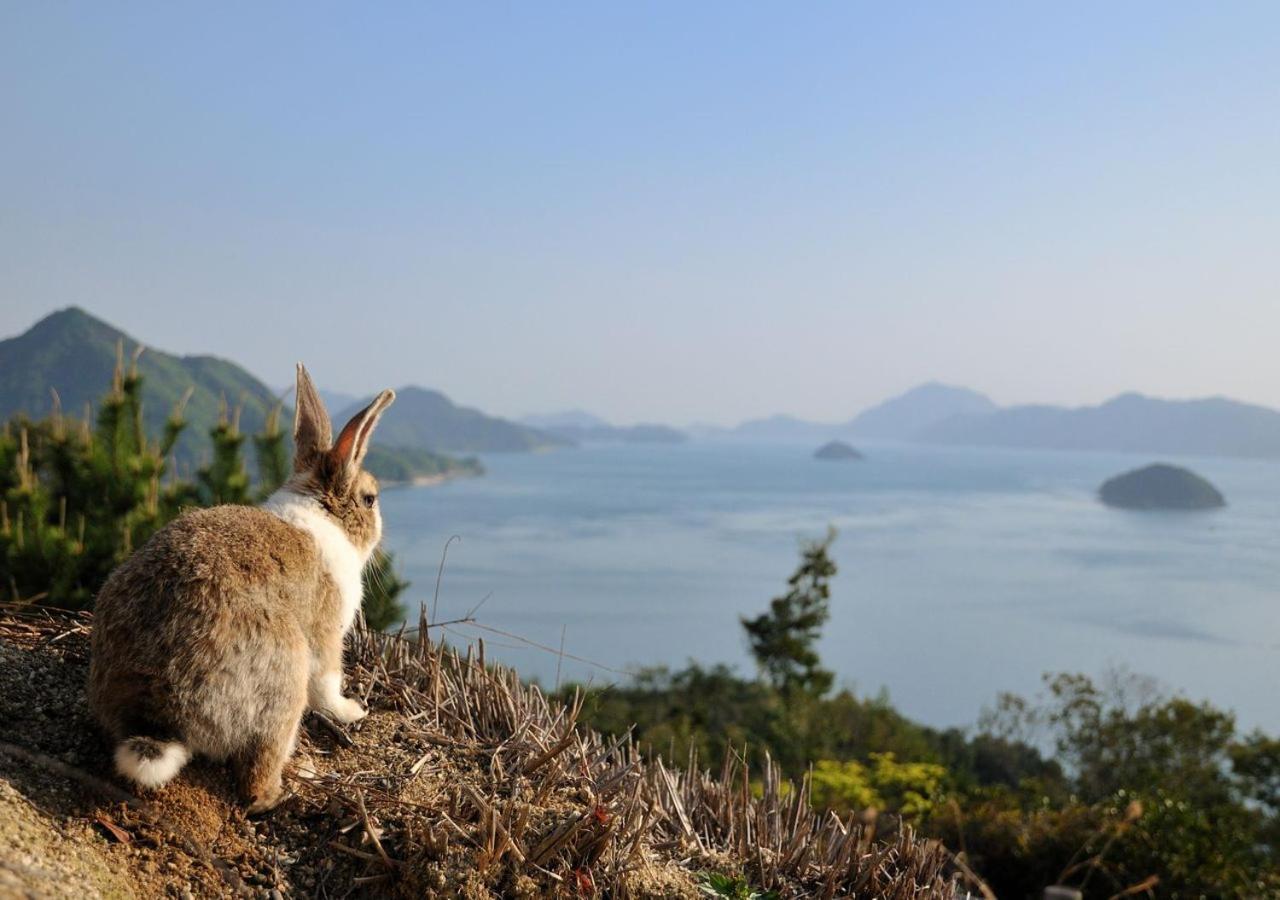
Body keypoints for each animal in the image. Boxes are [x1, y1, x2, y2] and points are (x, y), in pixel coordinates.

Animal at [88, 363, 394, 814]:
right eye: (369, 499)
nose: (380, 531)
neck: (321, 510)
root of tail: (160, 709)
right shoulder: (326, 636)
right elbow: (328, 684)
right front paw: (351, 711)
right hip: (285, 678)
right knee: (257, 778)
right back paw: (289, 785)